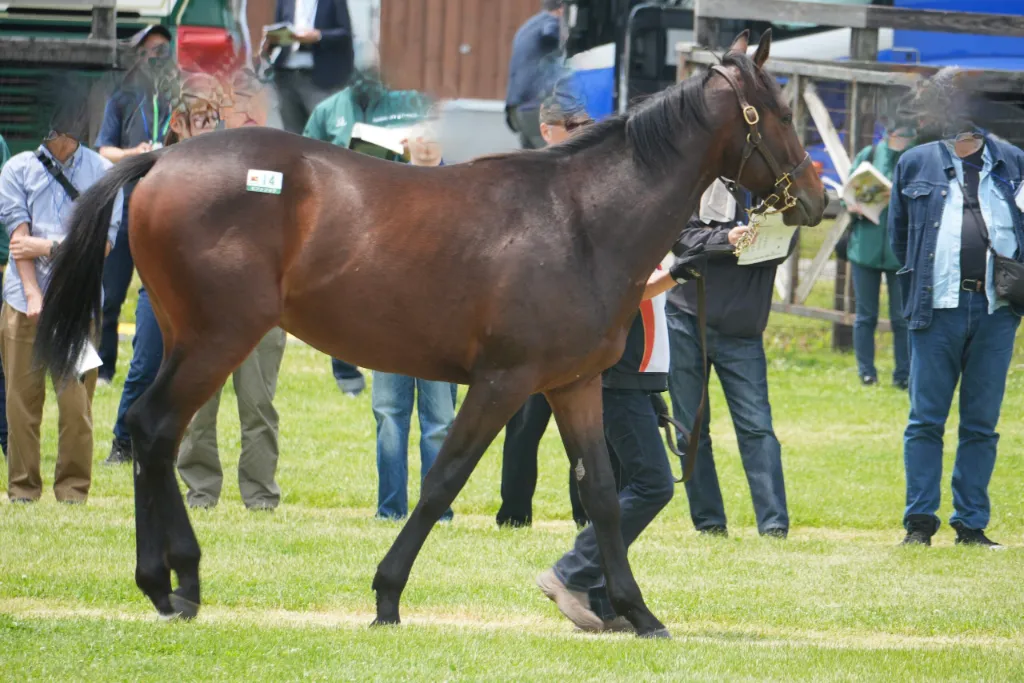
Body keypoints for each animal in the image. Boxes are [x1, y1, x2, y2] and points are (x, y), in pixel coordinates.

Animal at [36, 30, 824, 638]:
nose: (818, 199)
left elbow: (602, 493)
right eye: (781, 110)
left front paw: (636, 611)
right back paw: (171, 580)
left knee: (153, 431)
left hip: (187, 337)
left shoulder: (573, 385)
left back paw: (175, 582)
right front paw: (387, 595)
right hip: (216, 338)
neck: (580, 220)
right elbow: (443, 478)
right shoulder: (503, 382)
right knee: (155, 427)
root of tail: (163, 156)